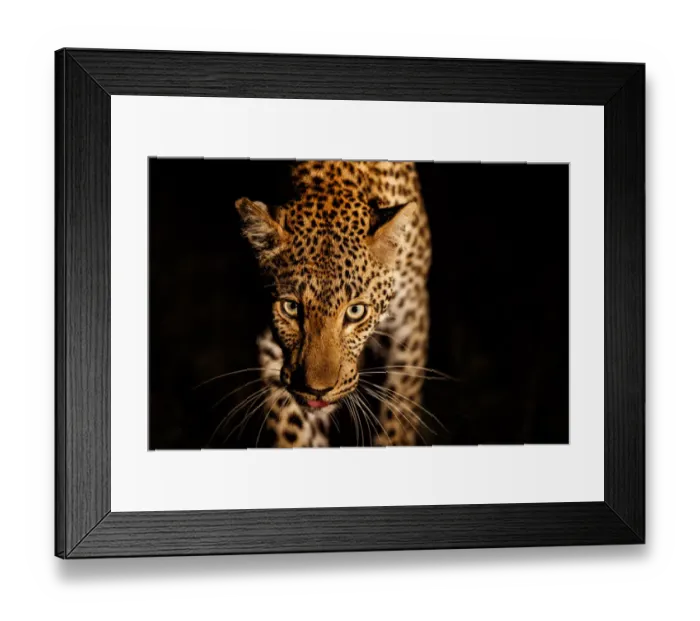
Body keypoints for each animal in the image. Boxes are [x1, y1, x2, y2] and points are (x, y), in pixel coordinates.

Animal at [234, 160, 432, 448]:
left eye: (356, 311)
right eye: (291, 308)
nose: (318, 391)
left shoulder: (410, 320)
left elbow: (399, 413)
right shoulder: (270, 341)